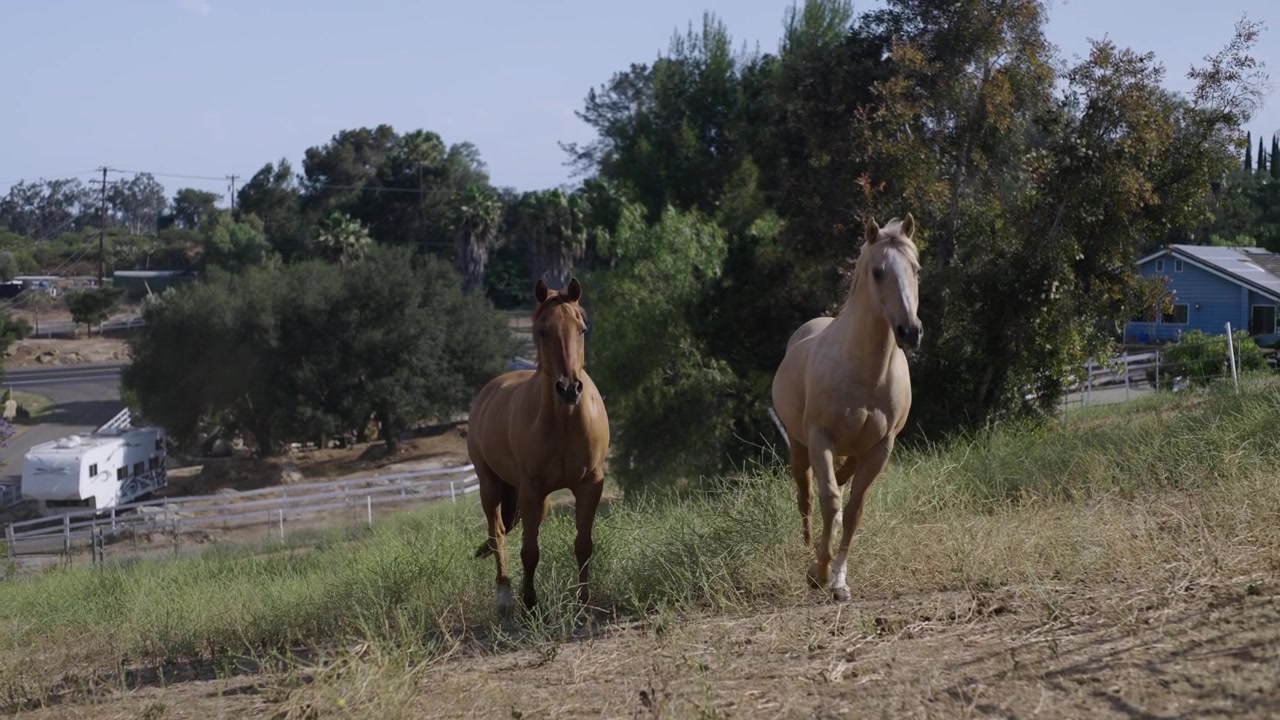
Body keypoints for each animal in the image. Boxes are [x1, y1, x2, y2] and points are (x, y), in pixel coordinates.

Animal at [467, 277, 611, 616]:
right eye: (543, 330)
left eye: (581, 328)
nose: (569, 389)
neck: (565, 421)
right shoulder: (532, 488)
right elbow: (529, 551)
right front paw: (530, 603)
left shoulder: (590, 484)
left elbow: (583, 544)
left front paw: (584, 602)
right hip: (490, 485)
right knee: (498, 534)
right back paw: (505, 596)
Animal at [769, 214, 923, 603]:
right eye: (878, 271)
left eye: (916, 269)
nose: (910, 331)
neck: (865, 371)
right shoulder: (820, 439)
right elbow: (829, 500)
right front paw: (818, 572)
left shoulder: (881, 447)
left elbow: (853, 509)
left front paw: (838, 581)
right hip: (800, 446)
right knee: (808, 494)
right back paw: (807, 542)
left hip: (853, 451)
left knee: (839, 485)